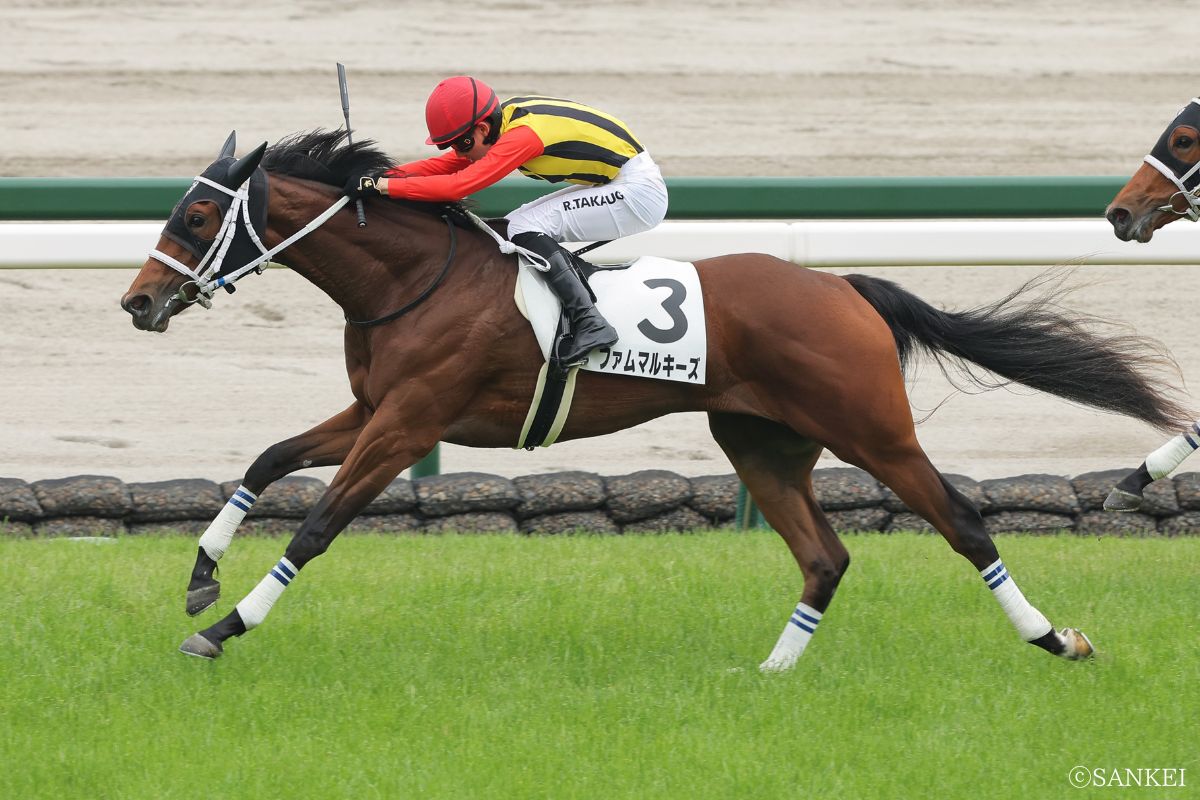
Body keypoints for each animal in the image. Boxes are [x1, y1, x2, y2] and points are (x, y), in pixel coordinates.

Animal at [122, 129, 1190, 666]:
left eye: (199, 216)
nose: (137, 301)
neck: (414, 278)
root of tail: (843, 287)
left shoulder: (408, 421)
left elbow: (318, 526)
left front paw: (220, 630)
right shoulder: (373, 410)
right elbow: (267, 460)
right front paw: (201, 577)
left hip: (872, 429)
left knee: (963, 525)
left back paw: (1057, 640)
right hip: (759, 440)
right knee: (825, 556)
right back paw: (770, 676)